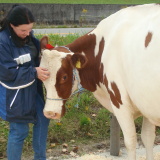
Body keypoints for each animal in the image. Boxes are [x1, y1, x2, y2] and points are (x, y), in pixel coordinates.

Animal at [40, 3, 160, 160]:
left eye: (64, 77)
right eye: (42, 77)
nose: (49, 113)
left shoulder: (120, 101)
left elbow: (130, 141)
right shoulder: (144, 102)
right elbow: (148, 138)